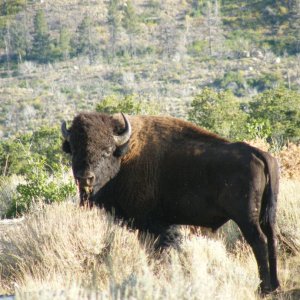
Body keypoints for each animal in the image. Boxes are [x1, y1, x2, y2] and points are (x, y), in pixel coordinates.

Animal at [61, 112, 282, 292]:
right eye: (74, 149)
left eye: (107, 150)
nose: (85, 178)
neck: (125, 155)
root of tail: (258, 153)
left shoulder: (151, 224)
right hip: (266, 215)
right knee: (271, 238)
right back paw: (275, 285)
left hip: (246, 217)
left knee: (258, 241)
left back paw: (264, 288)